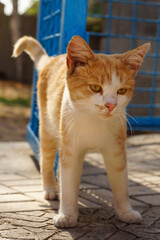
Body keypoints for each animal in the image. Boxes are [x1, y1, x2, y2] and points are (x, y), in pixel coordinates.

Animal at [12, 35, 150, 227]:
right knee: (47, 159)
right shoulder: (70, 148)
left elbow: (121, 183)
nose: (111, 105)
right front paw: (67, 215)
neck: (94, 122)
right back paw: (50, 188)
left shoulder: (116, 150)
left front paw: (126, 212)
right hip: (48, 128)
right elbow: (68, 183)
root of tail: (52, 59)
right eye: (95, 88)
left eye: (122, 91)